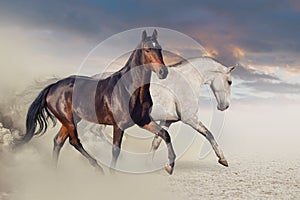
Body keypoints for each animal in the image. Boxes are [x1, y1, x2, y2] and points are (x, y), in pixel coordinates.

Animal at [18, 30, 177, 175]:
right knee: (74, 142)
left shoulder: (143, 121)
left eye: (160, 48)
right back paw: (97, 168)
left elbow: (164, 134)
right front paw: (112, 175)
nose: (163, 72)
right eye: (147, 49)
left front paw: (170, 166)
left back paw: (55, 172)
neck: (130, 89)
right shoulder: (118, 125)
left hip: (71, 120)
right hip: (69, 121)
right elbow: (115, 150)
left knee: (58, 141)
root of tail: (52, 87)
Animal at [94, 55, 237, 166]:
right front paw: (223, 159)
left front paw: (149, 164)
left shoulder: (167, 120)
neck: (187, 80)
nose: (224, 106)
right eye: (229, 82)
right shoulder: (190, 119)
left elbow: (157, 141)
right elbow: (208, 133)